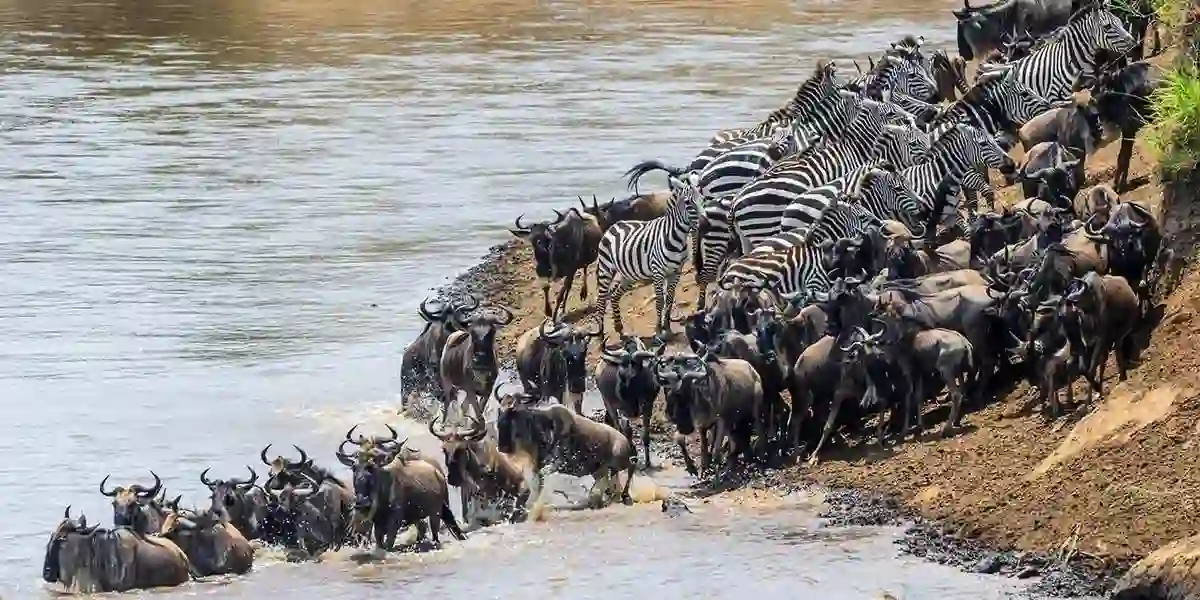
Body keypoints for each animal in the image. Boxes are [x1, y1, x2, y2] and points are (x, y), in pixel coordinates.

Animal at [594, 171, 703, 340]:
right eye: (688, 202)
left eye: (702, 199)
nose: (703, 222)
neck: (677, 238)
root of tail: (615, 225)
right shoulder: (658, 272)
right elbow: (659, 301)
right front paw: (658, 330)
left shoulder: (676, 272)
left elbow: (669, 299)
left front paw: (667, 327)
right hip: (605, 269)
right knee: (600, 300)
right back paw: (600, 336)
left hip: (628, 275)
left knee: (614, 295)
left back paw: (619, 328)